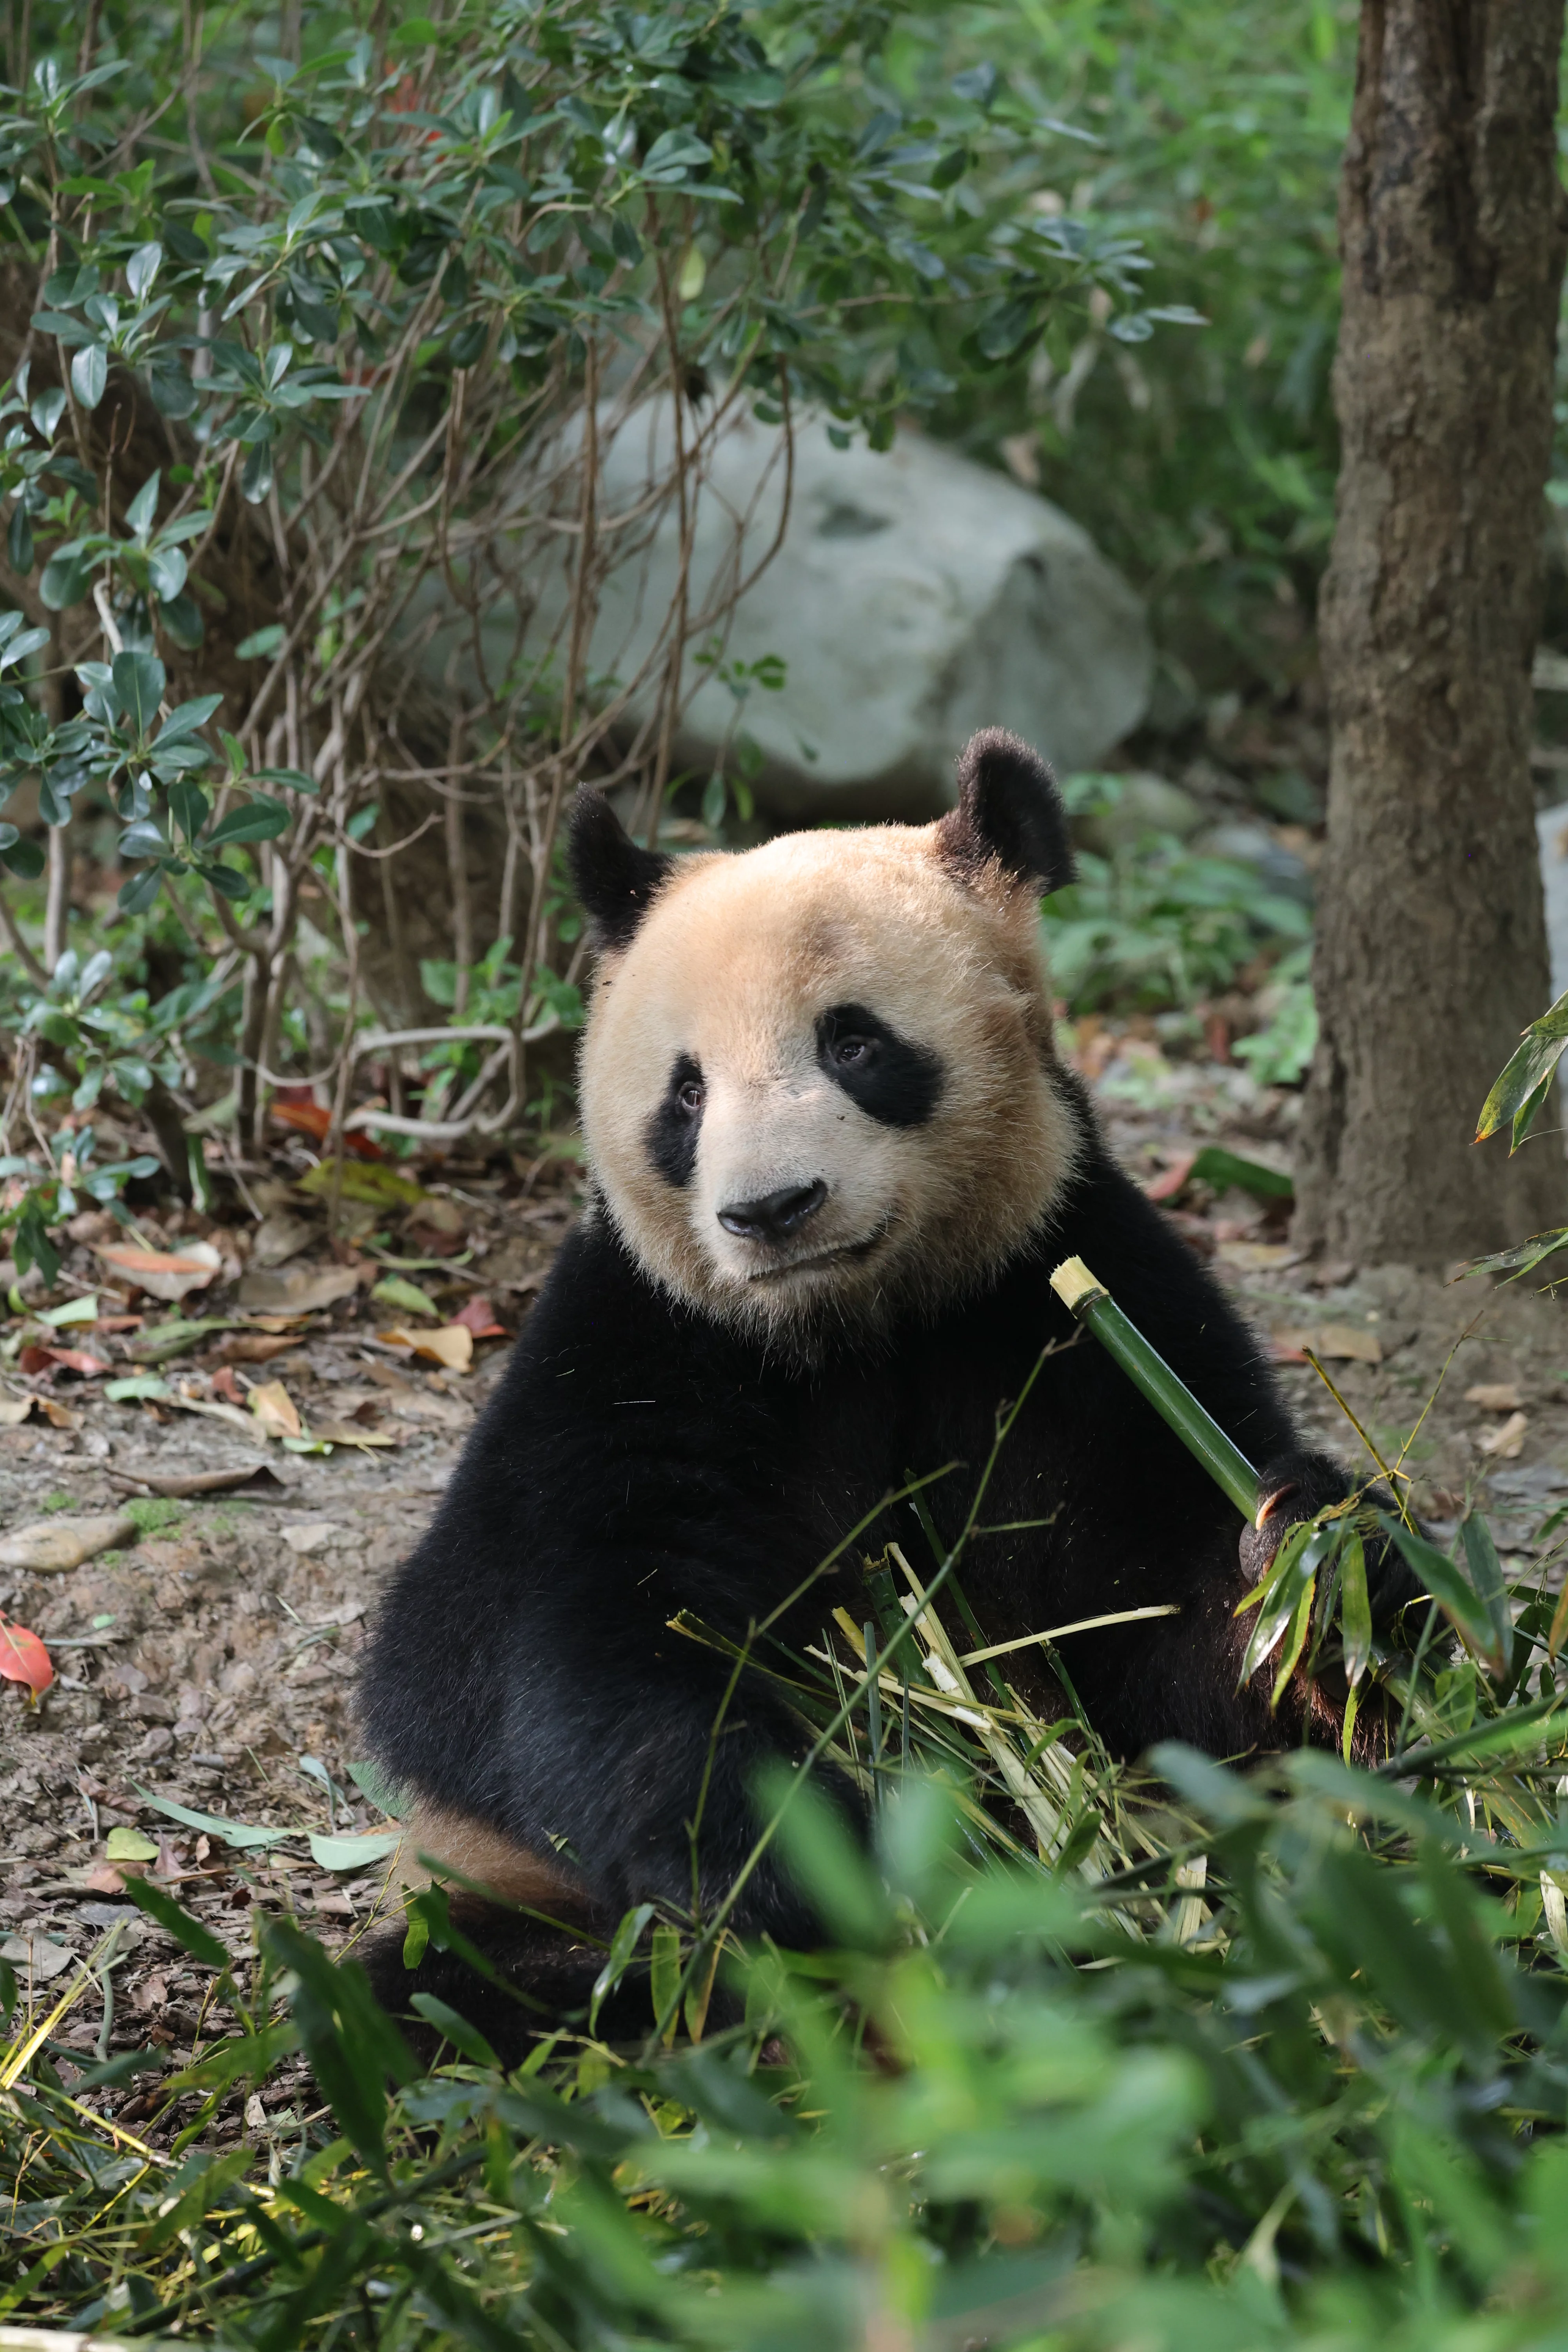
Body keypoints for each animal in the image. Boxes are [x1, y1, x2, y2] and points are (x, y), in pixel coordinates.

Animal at [359, 728, 1414, 2052]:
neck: (849, 1326)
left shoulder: (1057, 1298)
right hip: (492, 1902)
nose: (771, 1210)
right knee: (439, 1990)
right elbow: (534, 1644)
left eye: (854, 1043)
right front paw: (787, 1855)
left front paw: (1314, 1566)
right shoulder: (638, 1349)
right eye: (686, 1092)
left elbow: (1156, 1625)